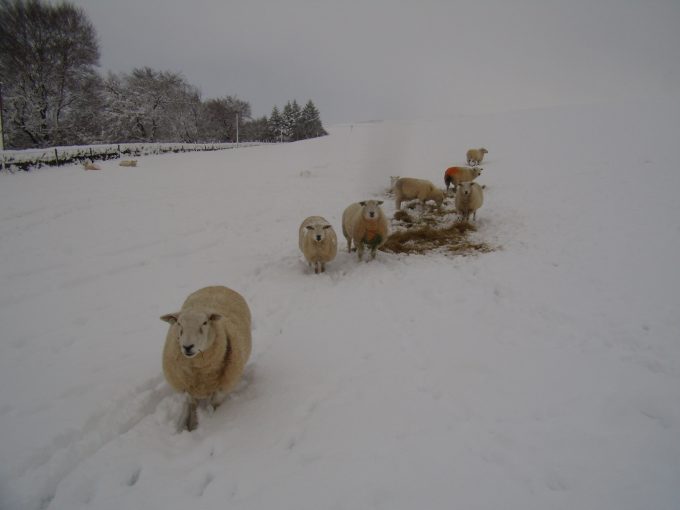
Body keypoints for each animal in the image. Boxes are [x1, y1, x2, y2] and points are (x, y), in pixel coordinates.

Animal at [161, 286, 251, 430]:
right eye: (179, 323)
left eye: (204, 323)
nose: (187, 347)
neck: (198, 372)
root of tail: (217, 285)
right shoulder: (185, 388)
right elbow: (191, 405)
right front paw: (190, 425)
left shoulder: (222, 389)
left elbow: (213, 405)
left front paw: (212, 419)